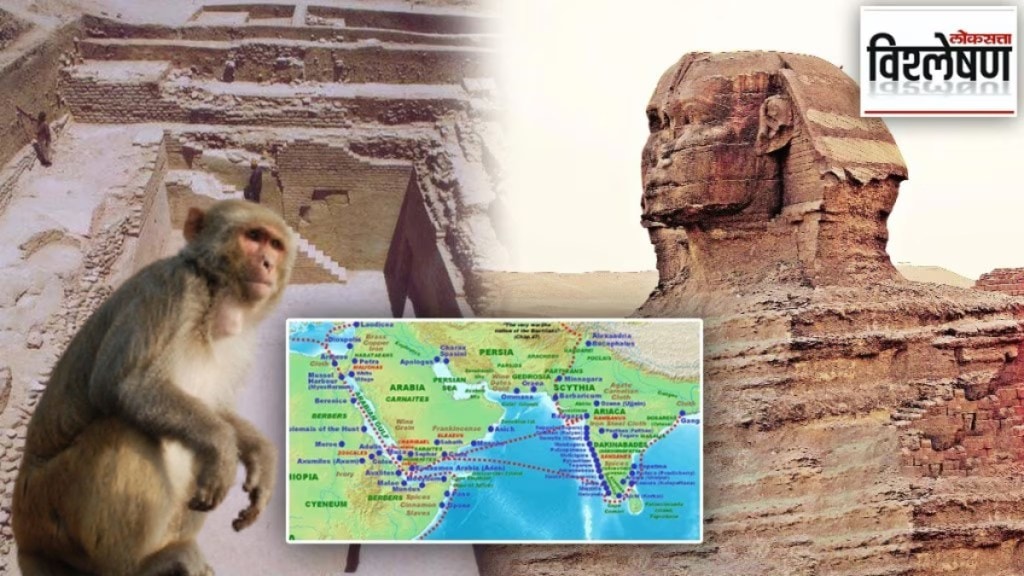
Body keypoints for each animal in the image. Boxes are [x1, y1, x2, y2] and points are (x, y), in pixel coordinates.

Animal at [12, 199, 296, 576]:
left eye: (276, 245)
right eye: (253, 237)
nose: (268, 263)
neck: (213, 300)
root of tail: (23, 541)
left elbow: (216, 410)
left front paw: (261, 453)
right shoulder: (170, 289)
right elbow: (120, 384)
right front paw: (223, 446)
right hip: (49, 514)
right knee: (124, 429)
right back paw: (141, 564)